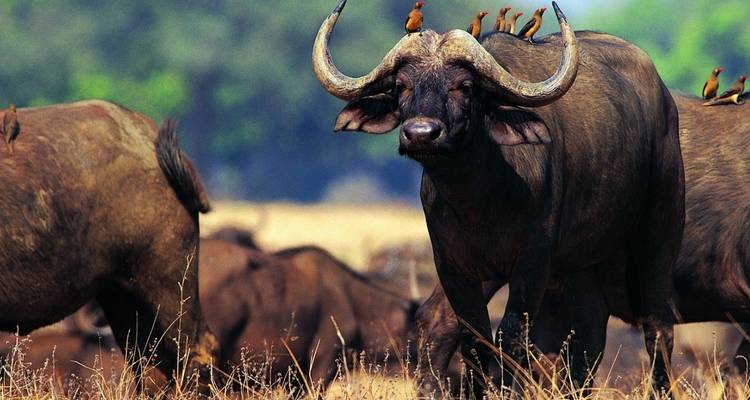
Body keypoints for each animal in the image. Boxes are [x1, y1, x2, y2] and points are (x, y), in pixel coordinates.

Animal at [313, 0, 684, 396]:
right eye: (401, 85)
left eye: (464, 86)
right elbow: (474, 335)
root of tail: (664, 101)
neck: (477, 198)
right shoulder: (451, 262)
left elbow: (510, 334)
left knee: (656, 325)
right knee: (583, 336)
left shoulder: (533, 260)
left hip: (659, 235)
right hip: (578, 266)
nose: (421, 134)